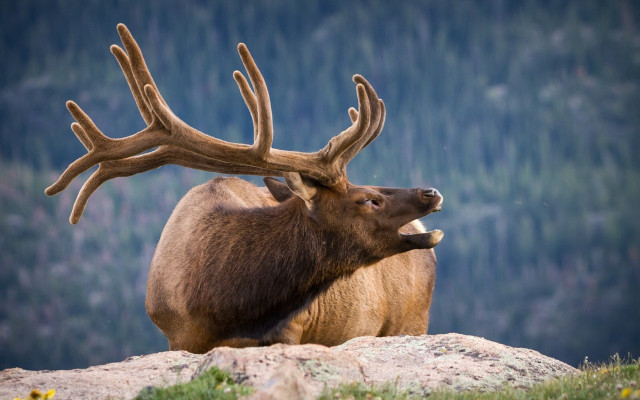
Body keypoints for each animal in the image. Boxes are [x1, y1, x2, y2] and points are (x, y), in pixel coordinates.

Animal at [46, 24, 444, 353]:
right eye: (369, 199)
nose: (431, 193)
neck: (226, 305)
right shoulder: (178, 338)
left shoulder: (292, 329)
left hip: (412, 322)